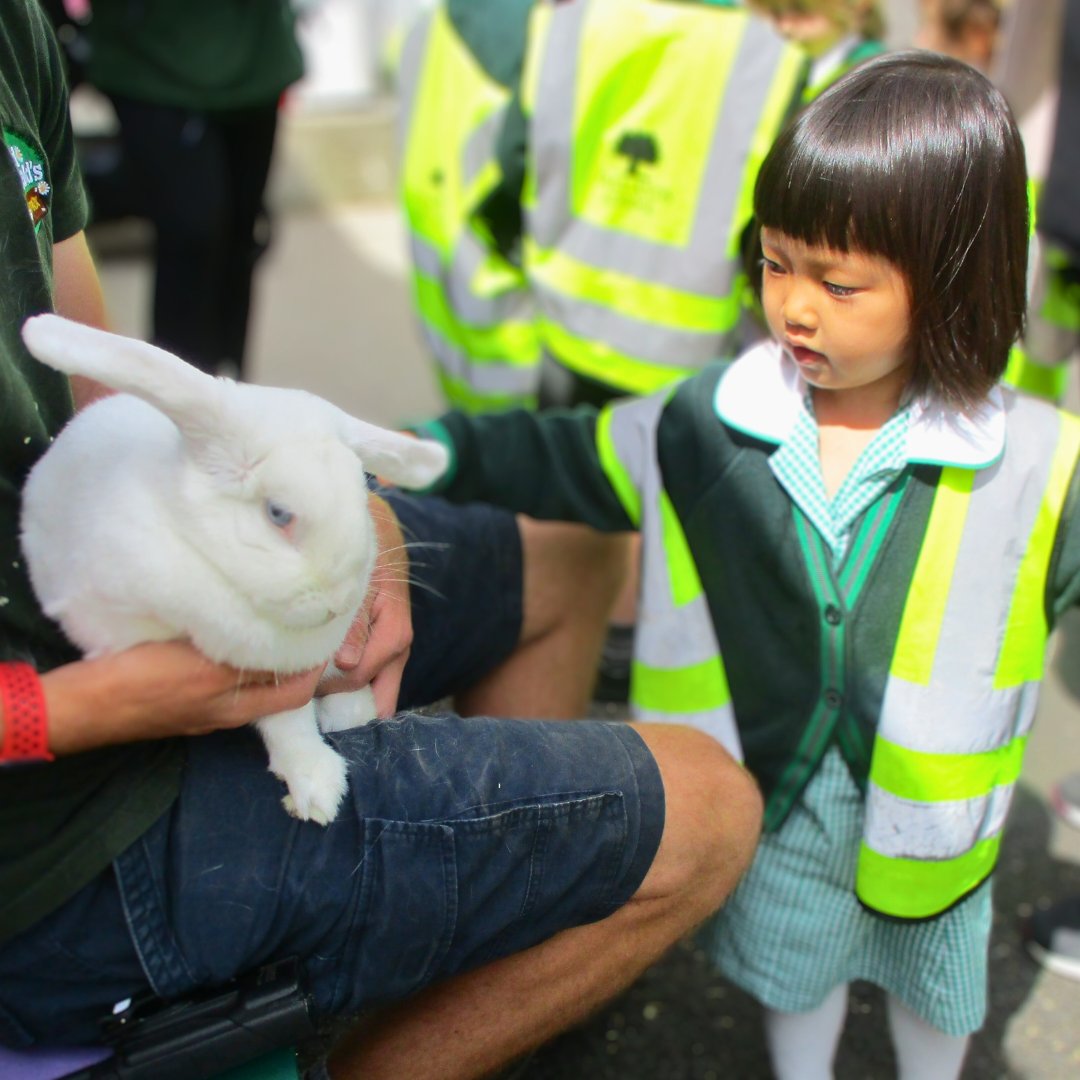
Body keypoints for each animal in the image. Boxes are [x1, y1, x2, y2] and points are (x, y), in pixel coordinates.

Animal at [18, 314, 449, 826]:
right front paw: (320, 791)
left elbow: (291, 722)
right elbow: (286, 719)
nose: (340, 602)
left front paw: (319, 785)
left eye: (361, 496)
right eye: (278, 513)